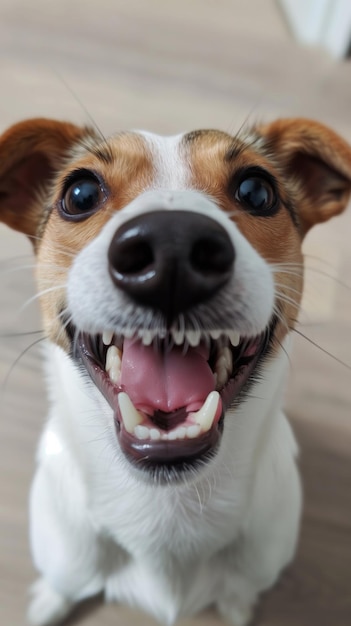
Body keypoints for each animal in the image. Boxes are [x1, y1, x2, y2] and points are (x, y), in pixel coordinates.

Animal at [0, 114, 350, 620]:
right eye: (80, 194)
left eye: (257, 191)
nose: (172, 246)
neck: (167, 509)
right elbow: (63, 586)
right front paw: (48, 603)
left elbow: (237, 600)